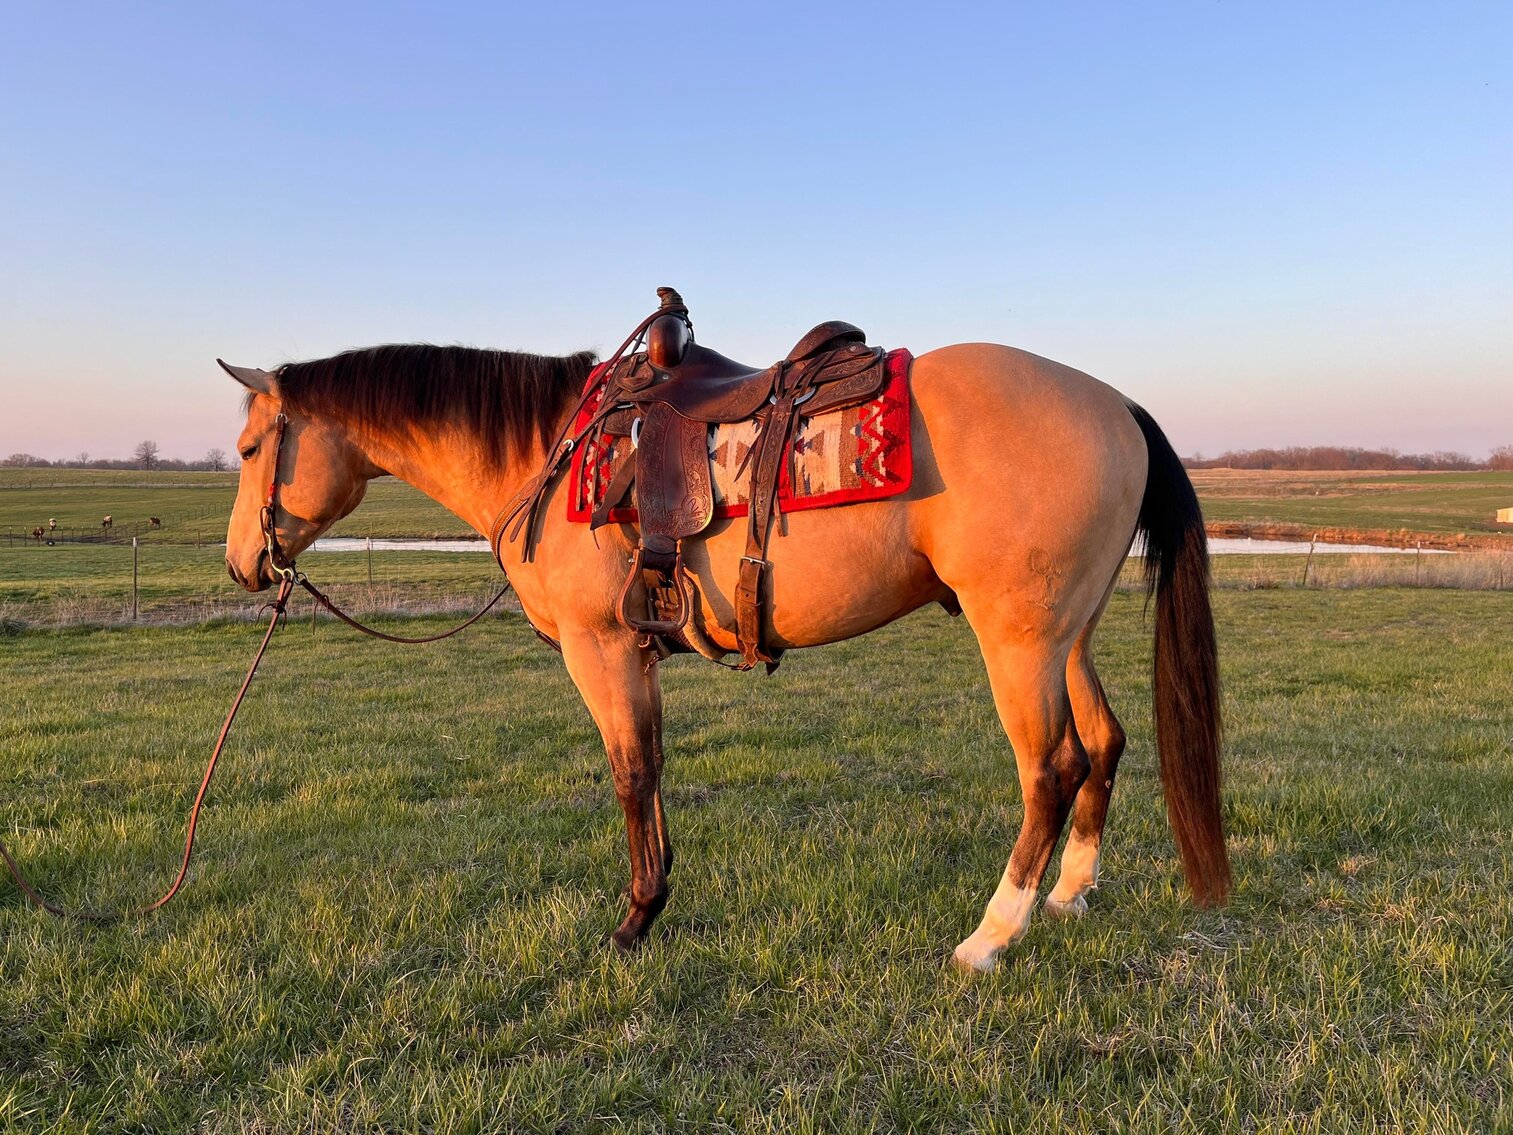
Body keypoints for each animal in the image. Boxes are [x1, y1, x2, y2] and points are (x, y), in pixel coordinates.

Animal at [219, 329, 1227, 971]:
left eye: (248, 447)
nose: (241, 563)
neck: (550, 449)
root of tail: (1116, 405)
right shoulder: (637, 650)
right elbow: (654, 764)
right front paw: (657, 896)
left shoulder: (600, 648)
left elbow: (629, 771)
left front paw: (633, 920)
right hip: (1066, 635)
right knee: (1103, 743)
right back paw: (1070, 894)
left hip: (1016, 640)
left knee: (1050, 767)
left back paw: (991, 934)